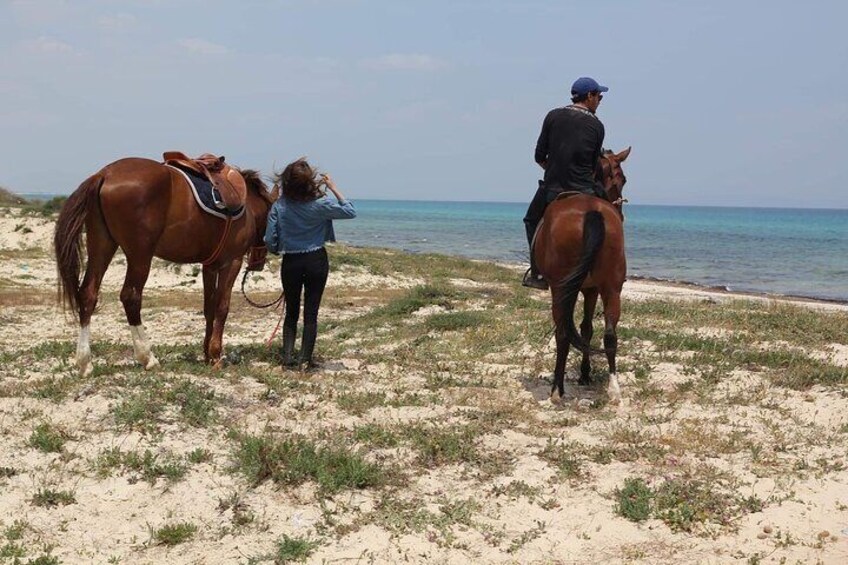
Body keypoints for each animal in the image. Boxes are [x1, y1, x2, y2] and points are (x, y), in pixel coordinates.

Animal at [53, 156, 278, 374]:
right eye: (271, 218)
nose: (258, 262)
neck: (246, 205)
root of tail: (104, 174)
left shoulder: (209, 266)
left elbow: (209, 308)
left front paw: (206, 354)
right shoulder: (231, 262)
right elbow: (222, 307)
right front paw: (215, 355)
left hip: (102, 246)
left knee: (88, 294)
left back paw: (85, 363)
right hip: (140, 256)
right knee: (130, 296)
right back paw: (147, 357)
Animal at [536, 145, 628, 400]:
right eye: (622, 179)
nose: (621, 212)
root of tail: (592, 211)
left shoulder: (581, 289)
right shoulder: (592, 288)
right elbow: (588, 329)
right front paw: (585, 375)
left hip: (560, 289)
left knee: (563, 332)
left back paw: (557, 389)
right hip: (611, 288)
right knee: (610, 335)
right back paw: (614, 389)